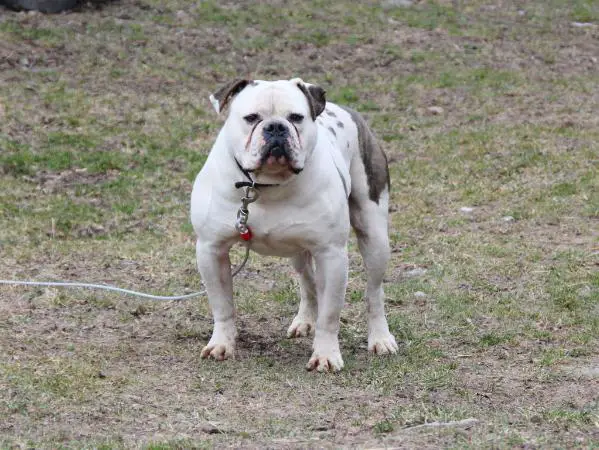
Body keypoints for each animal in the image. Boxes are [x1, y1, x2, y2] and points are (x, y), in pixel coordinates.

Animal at [191, 78, 398, 372]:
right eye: (251, 118)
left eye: (296, 118)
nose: (276, 127)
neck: (266, 184)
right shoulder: (212, 249)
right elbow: (222, 305)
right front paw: (222, 344)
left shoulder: (331, 254)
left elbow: (330, 315)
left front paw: (326, 354)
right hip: (298, 250)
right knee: (307, 281)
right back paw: (304, 321)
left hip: (375, 236)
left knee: (374, 292)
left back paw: (380, 338)